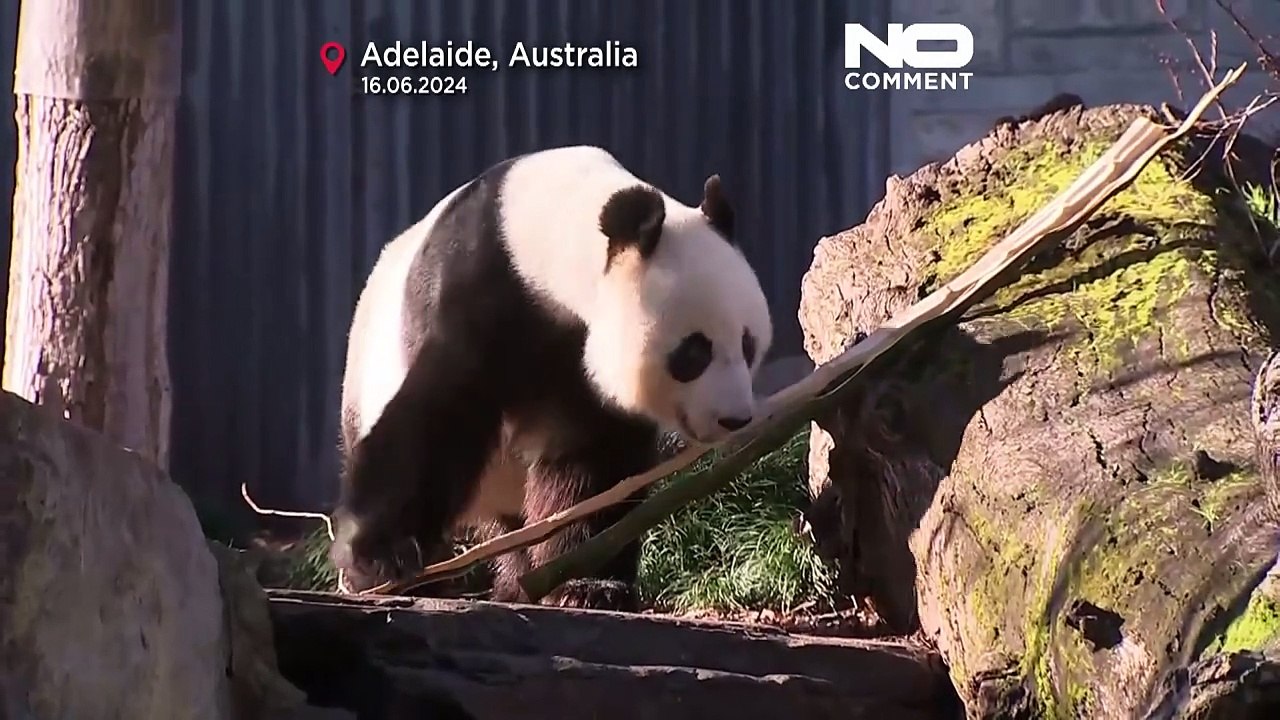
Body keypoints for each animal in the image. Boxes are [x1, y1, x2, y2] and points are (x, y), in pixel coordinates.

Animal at [331, 145, 773, 611]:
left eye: (748, 344)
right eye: (694, 352)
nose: (734, 419)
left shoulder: (583, 367)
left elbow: (591, 463)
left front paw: (588, 584)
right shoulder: (481, 289)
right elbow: (437, 417)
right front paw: (381, 559)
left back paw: (516, 583)